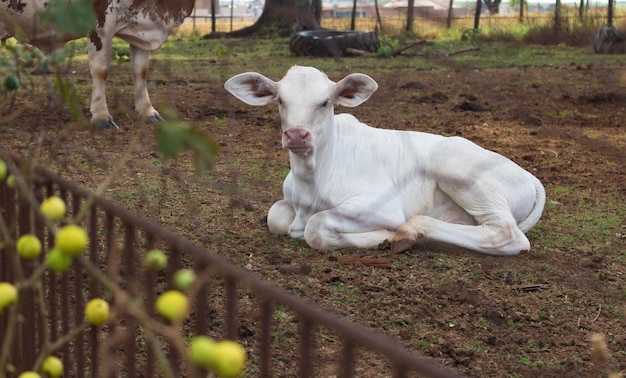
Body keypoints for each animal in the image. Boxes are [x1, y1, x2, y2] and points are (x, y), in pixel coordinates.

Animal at [0, 0, 195, 128]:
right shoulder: (101, 20)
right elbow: (101, 70)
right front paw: (101, 117)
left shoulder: (142, 31)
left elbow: (141, 71)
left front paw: (148, 111)